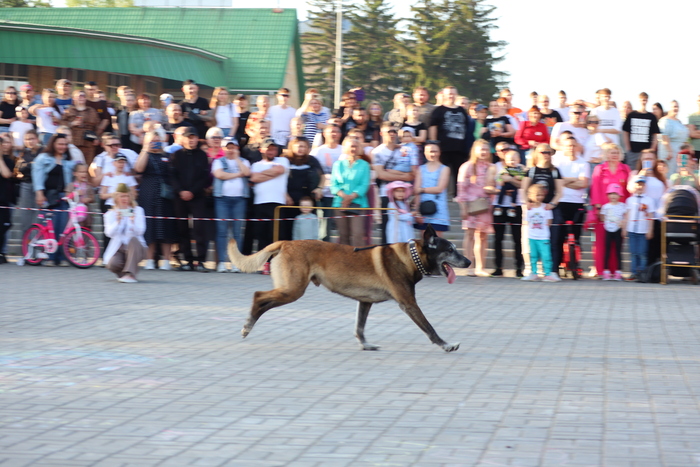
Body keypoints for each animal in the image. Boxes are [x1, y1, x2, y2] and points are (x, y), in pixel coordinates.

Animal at [227, 225, 471, 352]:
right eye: (450, 249)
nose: (468, 262)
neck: (410, 256)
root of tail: (285, 242)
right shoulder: (409, 304)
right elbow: (430, 328)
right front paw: (446, 344)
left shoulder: (365, 302)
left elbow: (359, 328)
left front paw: (365, 345)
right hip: (292, 289)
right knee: (258, 297)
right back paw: (247, 326)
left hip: (290, 289)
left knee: (262, 300)